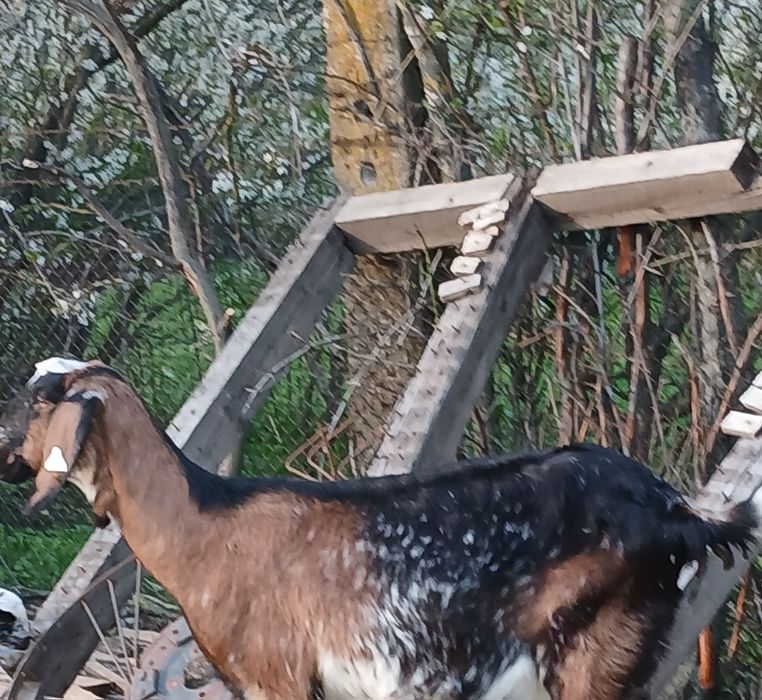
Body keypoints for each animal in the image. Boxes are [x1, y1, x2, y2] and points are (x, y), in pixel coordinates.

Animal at [4, 356, 762, 700]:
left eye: (37, 399)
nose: (2, 454)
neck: (205, 528)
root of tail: (677, 510)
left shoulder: (279, 676)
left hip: (595, 655)